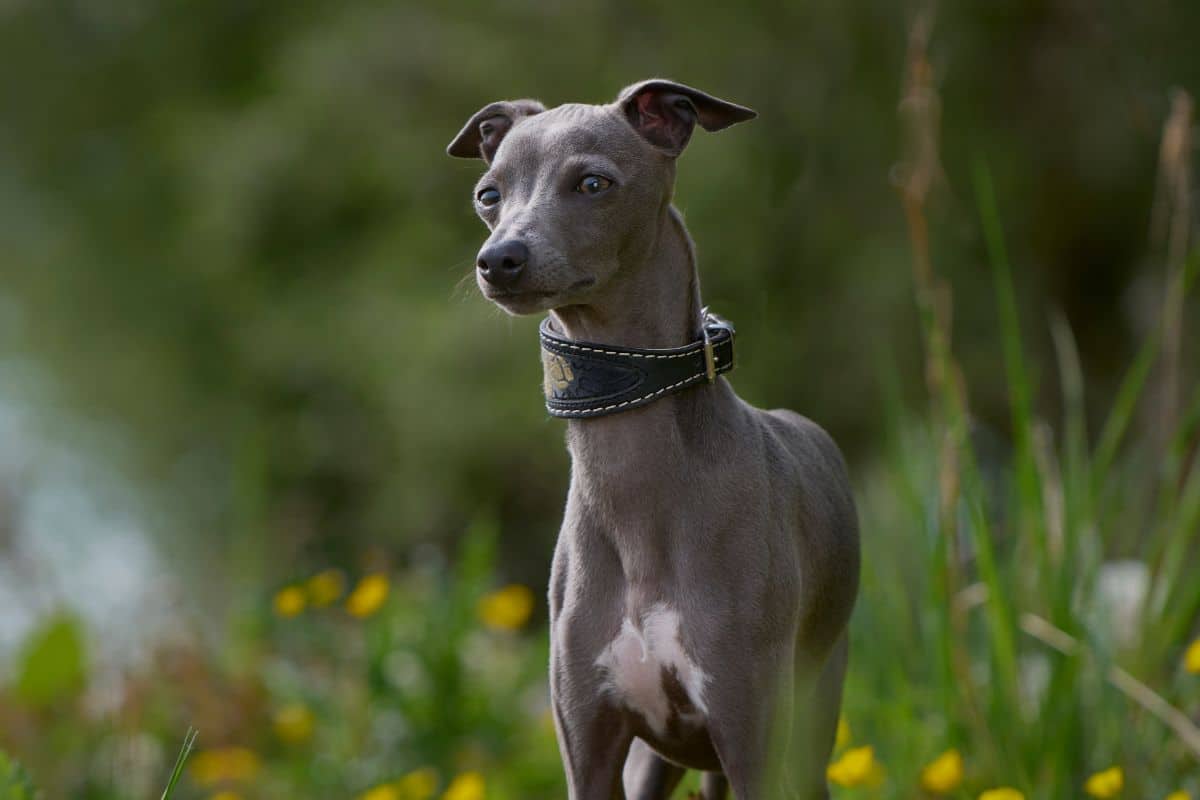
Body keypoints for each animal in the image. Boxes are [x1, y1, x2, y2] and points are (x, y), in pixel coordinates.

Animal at [446, 79, 859, 800]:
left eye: (593, 182)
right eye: (488, 194)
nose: (499, 260)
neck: (638, 497)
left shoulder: (751, 738)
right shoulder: (589, 744)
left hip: (807, 720)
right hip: (658, 759)